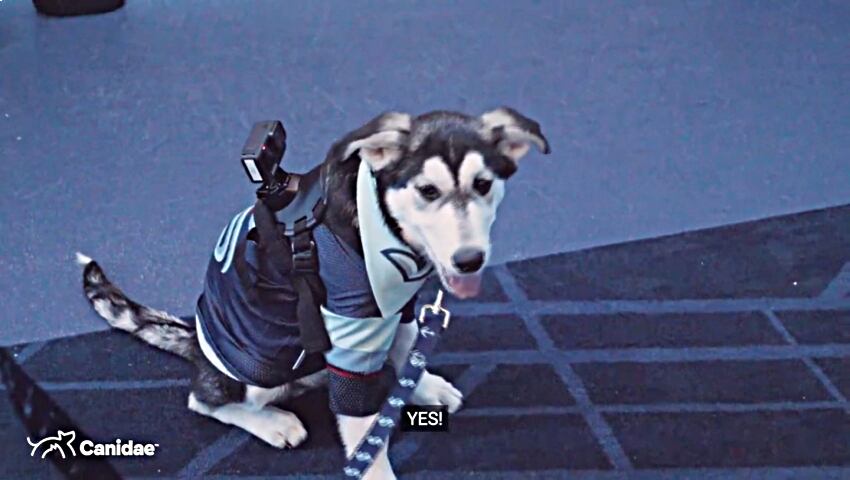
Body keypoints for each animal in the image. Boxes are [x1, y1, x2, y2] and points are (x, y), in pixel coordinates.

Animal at [76, 109, 548, 480]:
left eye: (483, 184)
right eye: (427, 191)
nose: (469, 260)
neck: (385, 228)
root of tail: (195, 342)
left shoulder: (398, 308)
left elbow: (406, 348)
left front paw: (421, 386)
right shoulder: (352, 334)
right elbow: (364, 437)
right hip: (257, 371)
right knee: (202, 400)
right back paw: (273, 422)